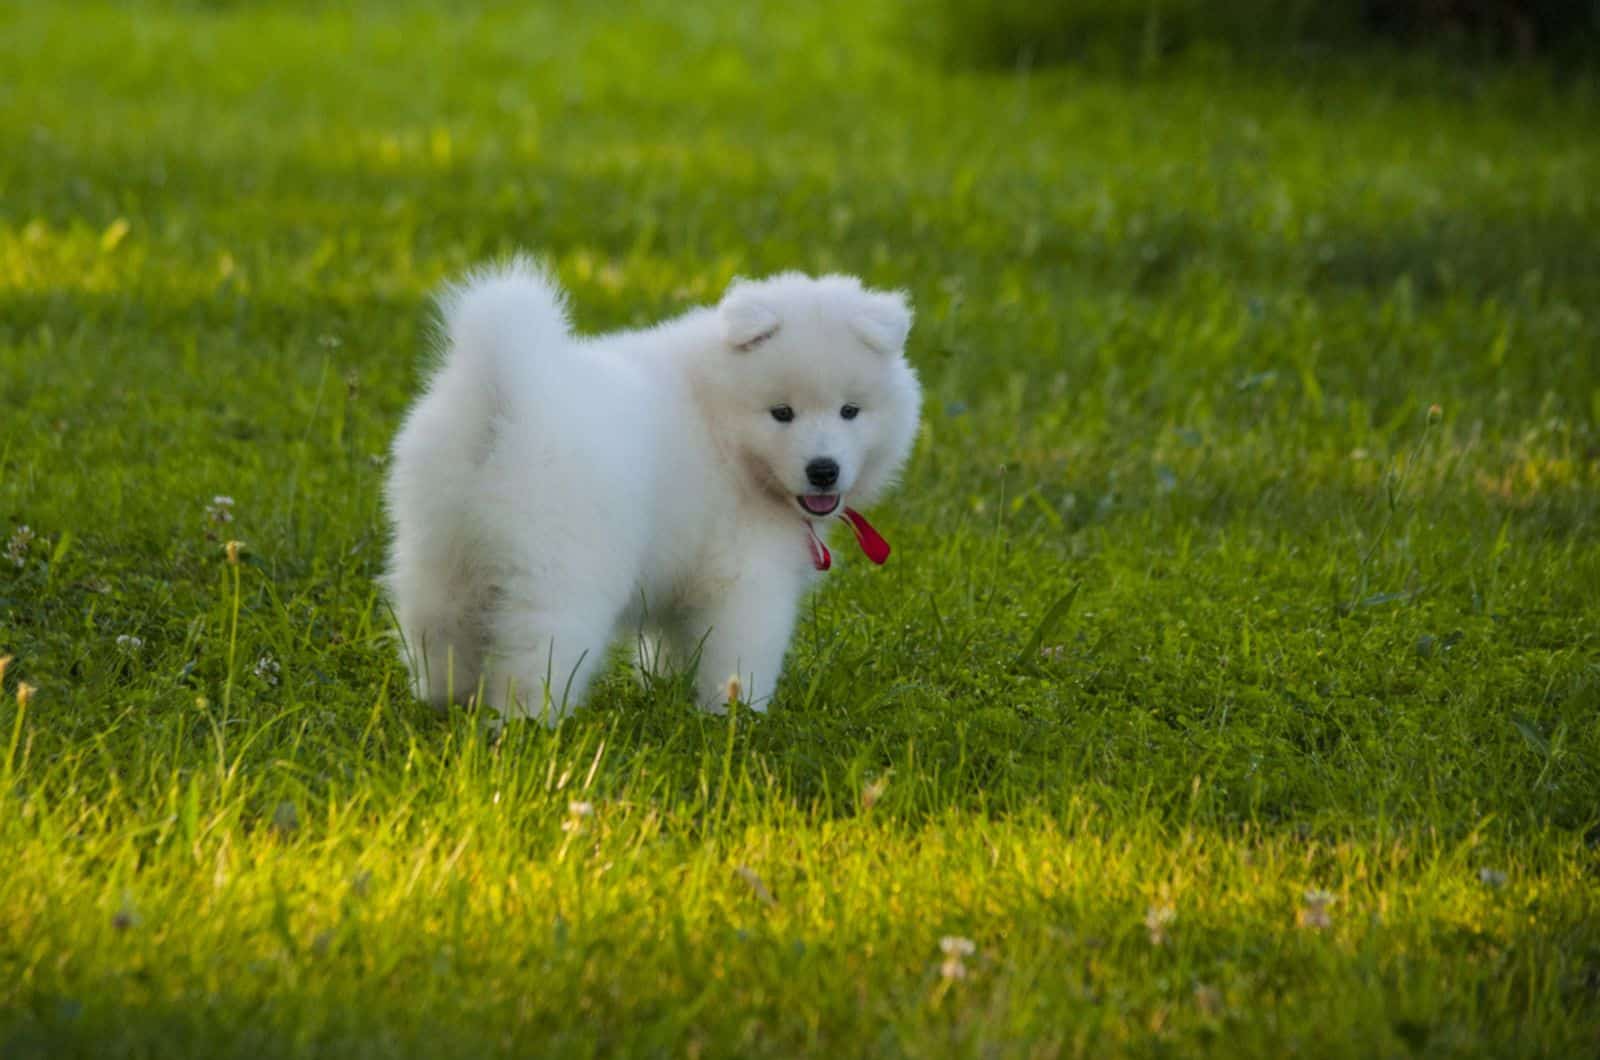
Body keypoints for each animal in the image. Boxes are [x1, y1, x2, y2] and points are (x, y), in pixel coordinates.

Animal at [379, 259, 921, 723]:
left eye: (850, 411)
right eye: (782, 413)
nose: (823, 470)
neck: (722, 428)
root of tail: (506, 397)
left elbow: (673, 643)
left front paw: (664, 689)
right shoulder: (747, 573)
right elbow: (744, 647)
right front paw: (739, 716)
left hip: (439, 547)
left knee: (437, 625)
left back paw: (444, 700)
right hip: (560, 567)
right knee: (536, 650)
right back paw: (528, 727)